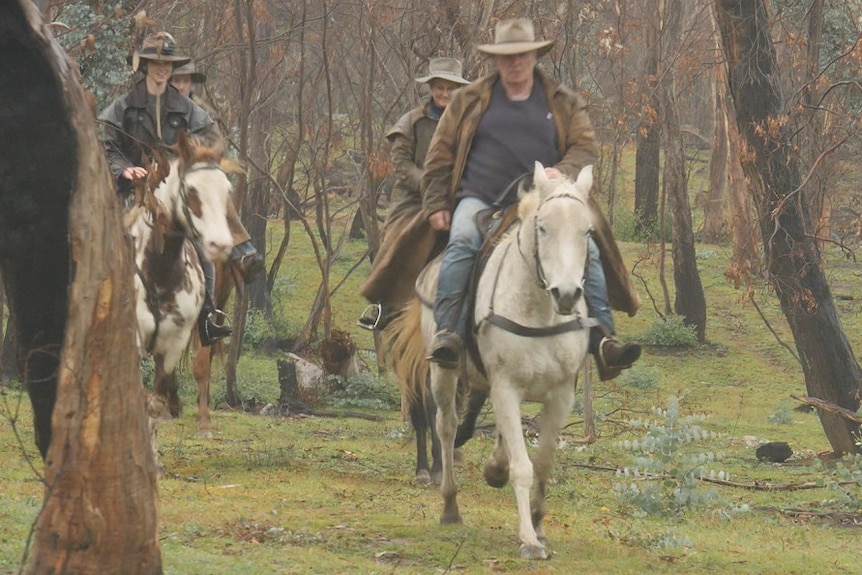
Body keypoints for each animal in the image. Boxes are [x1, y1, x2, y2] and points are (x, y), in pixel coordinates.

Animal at [390, 161, 592, 560]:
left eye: (588, 230)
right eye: (542, 228)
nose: (566, 294)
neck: (539, 311)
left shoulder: (561, 393)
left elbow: (543, 462)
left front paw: (538, 524)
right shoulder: (507, 388)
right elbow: (523, 467)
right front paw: (528, 540)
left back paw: (494, 468)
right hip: (443, 372)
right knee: (446, 427)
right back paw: (450, 504)